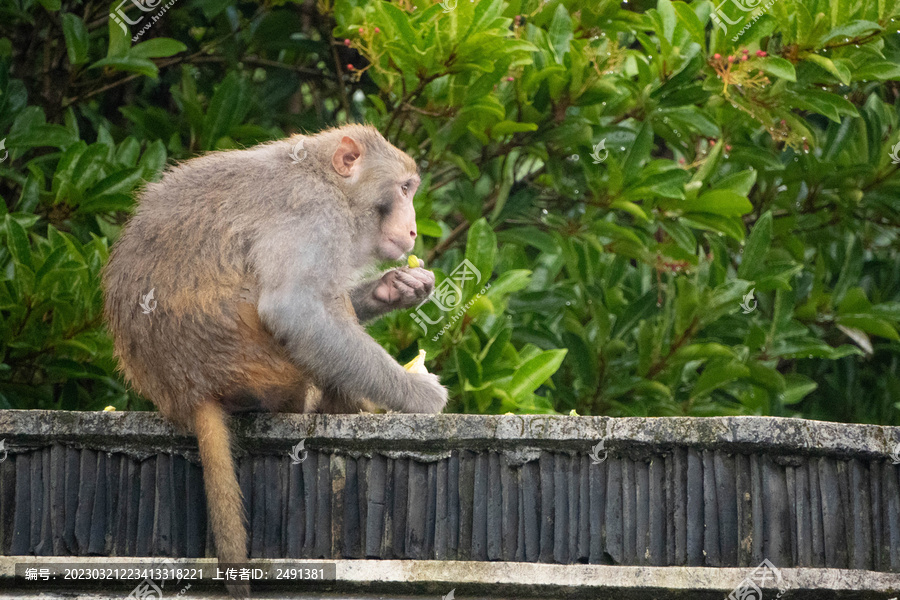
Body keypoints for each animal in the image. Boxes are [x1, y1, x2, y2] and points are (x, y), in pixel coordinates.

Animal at [103, 124, 450, 596]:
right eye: (404, 188)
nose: (413, 231)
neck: (327, 180)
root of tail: (186, 393)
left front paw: (395, 288)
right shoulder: (315, 214)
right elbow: (294, 309)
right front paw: (421, 396)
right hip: (255, 368)